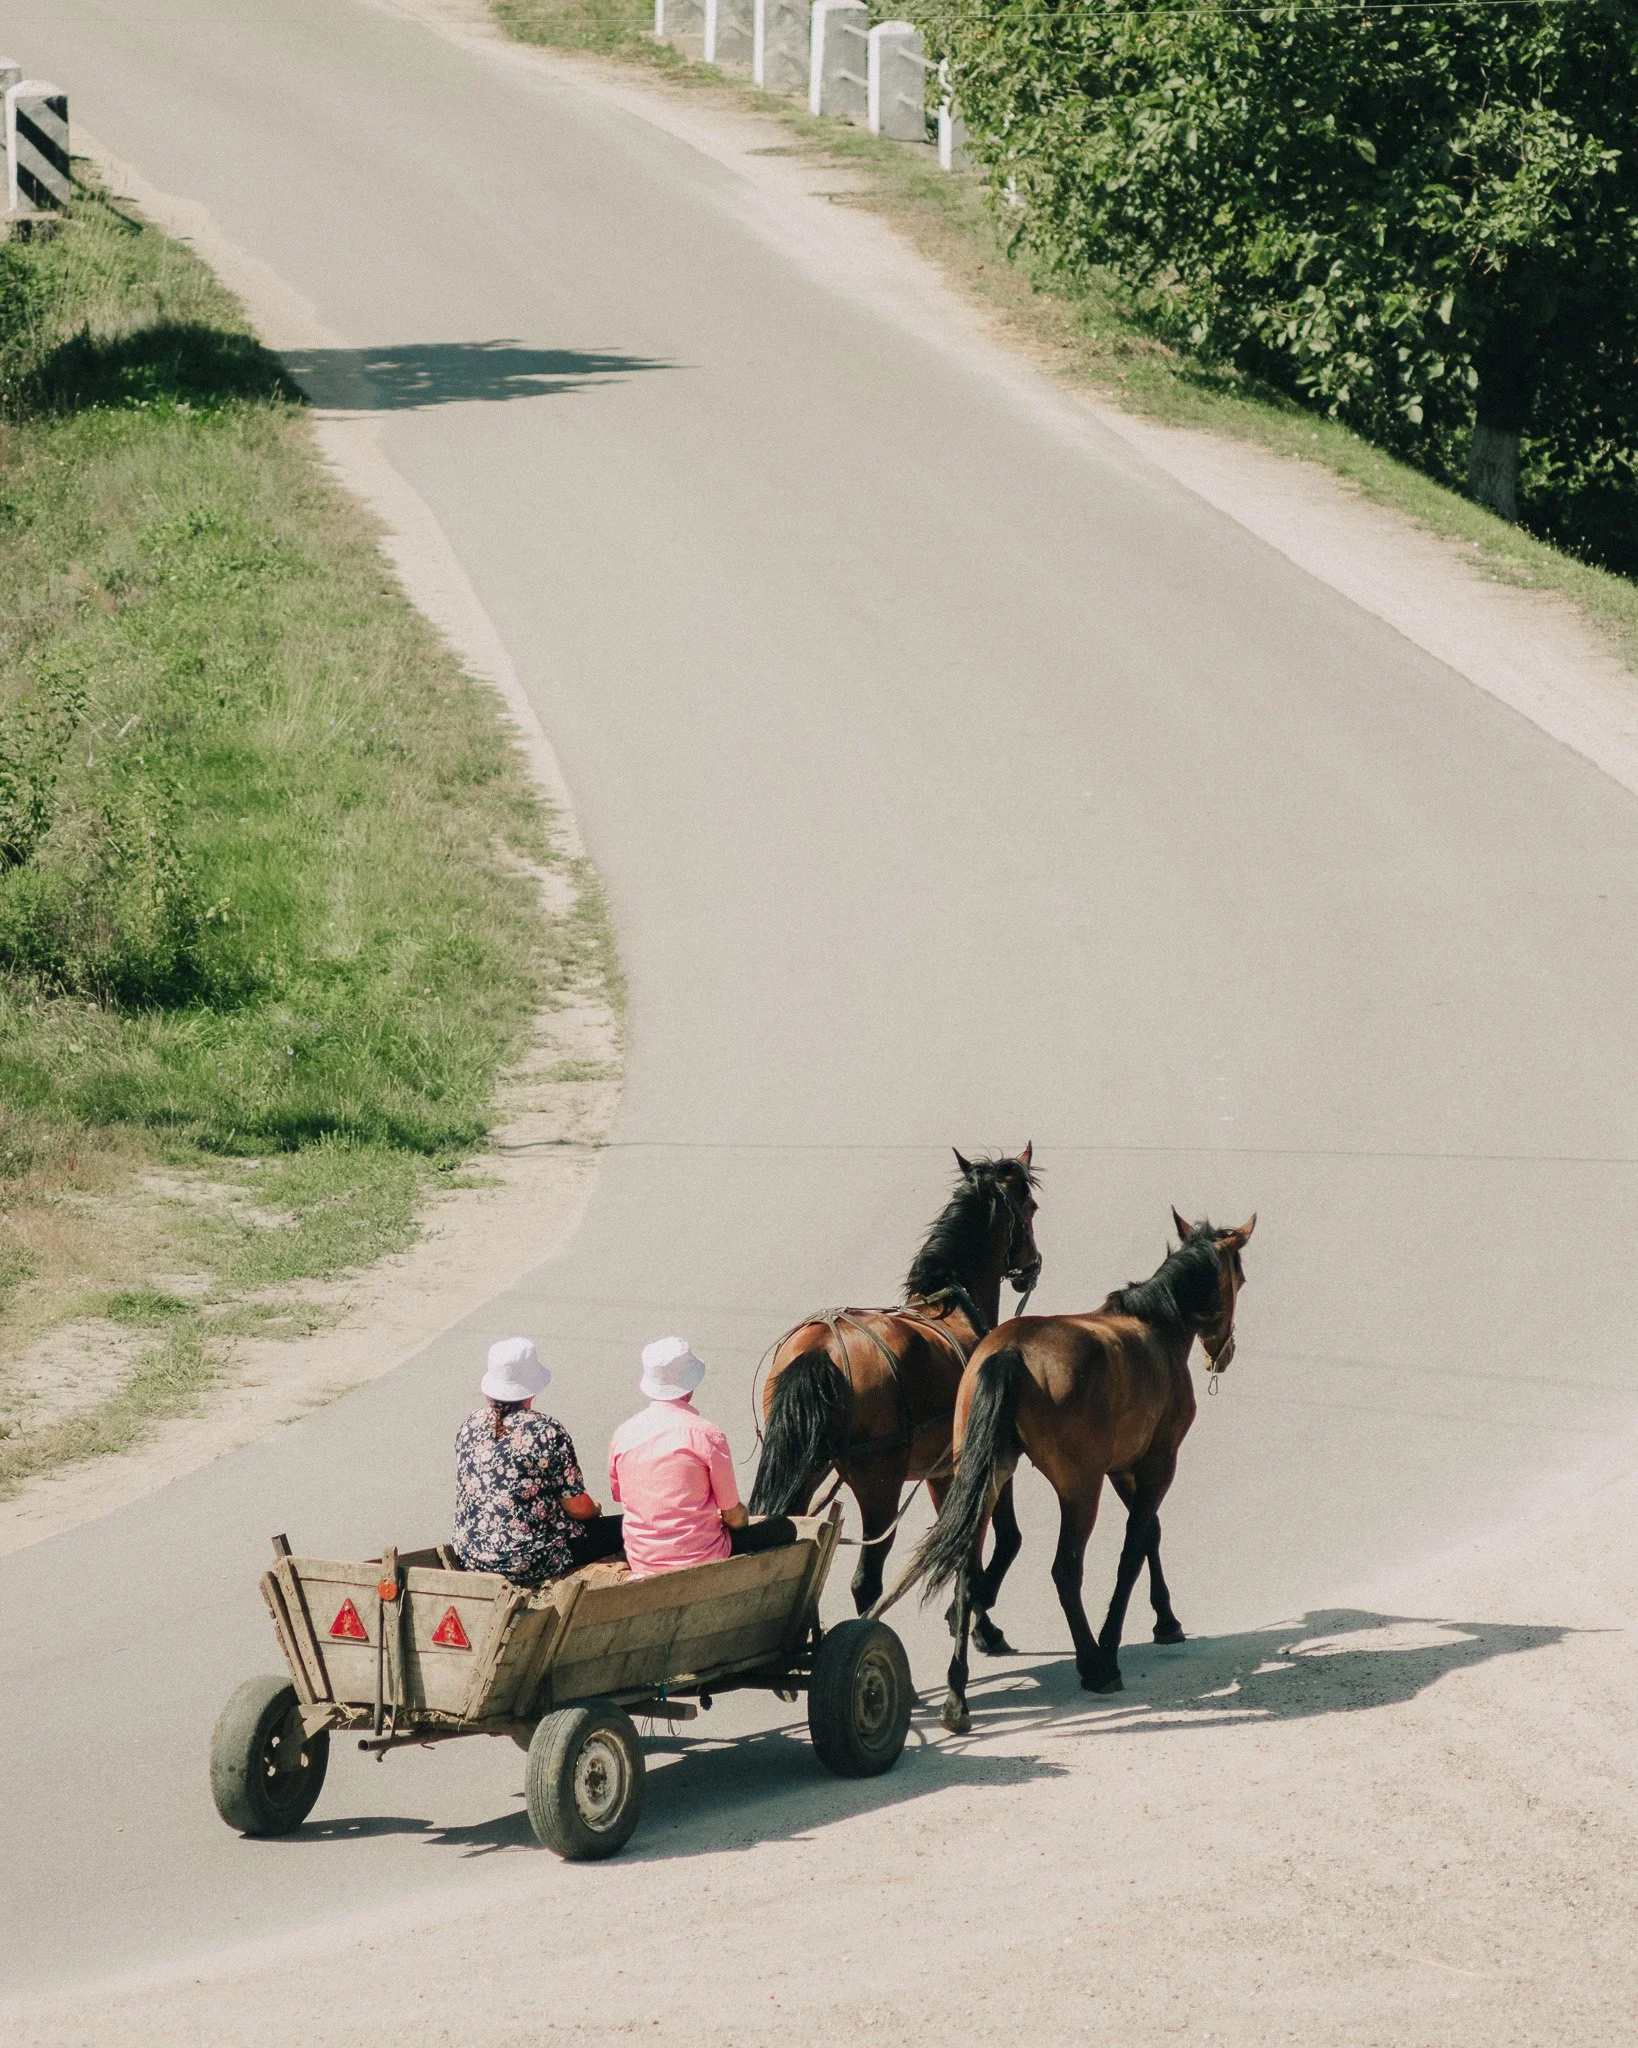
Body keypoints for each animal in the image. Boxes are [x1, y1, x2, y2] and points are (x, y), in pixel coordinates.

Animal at [748, 1147, 1042, 1623]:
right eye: (1030, 1207)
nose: (1031, 1267)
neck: (950, 1304)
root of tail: (821, 1347)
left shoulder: (944, 1471)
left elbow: (957, 1542)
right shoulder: (989, 1457)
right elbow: (998, 1540)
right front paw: (978, 1613)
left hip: (807, 1467)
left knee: (794, 1532)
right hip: (879, 1485)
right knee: (867, 1581)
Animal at [877, 1210, 1254, 1732]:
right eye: (1240, 1277)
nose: (1224, 1352)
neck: (1154, 1324)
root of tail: (1008, 1354)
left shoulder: (1123, 1468)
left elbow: (1150, 1534)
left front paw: (1166, 1619)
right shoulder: (1157, 1462)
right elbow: (1134, 1548)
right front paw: (1115, 1644)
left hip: (985, 1479)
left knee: (968, 1573)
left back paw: (957, 1693)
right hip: (1078, 1490)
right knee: (1065, 1570)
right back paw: (1094, 1665)